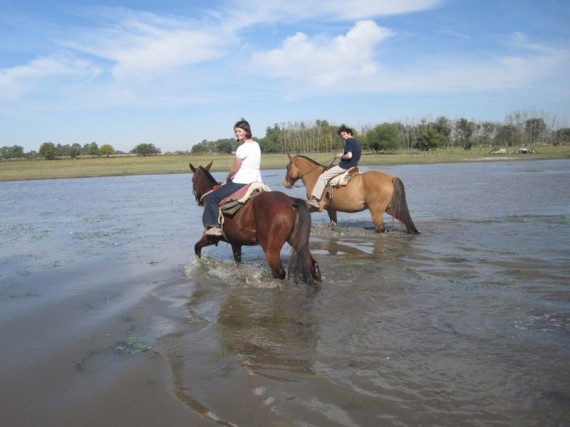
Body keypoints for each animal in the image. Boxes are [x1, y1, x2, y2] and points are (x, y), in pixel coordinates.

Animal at [191, 162, 322, 286]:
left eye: (192, 180)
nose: (198, 200)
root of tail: (291, 201)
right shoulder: (235, 242)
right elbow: (237, 262)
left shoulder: (211, 237)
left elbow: (197, 247)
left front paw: (198, 266)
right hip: (295, 240)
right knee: (312, 265)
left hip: (271, 250)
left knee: (279, 273)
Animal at [282, 154, 420, 234]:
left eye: (287, 167)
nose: (285, 183)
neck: (315, 177)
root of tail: (390, 178)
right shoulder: (331, 209)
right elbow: (334, 224)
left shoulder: (317, 207)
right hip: (390, 208)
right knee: (404, 219)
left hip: (376, 213)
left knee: (381, 229)